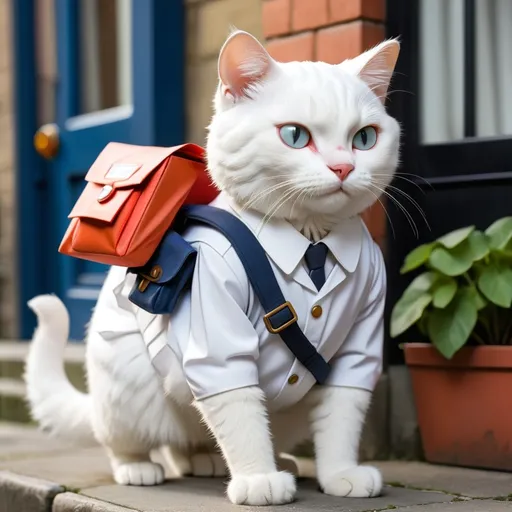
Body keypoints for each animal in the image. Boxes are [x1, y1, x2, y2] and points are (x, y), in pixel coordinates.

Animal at [23, 30, 400, 506]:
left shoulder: (359, 343)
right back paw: (140, 468)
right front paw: (259, 480)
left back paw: (224, 460)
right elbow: (239, 408)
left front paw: (340, 474)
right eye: (295, 136)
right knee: (131, 440)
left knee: (195, 442)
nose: (344, 167)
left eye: (365, 138)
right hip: (126, 385)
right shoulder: (216, 335)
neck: (310, 241)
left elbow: (342, 415)